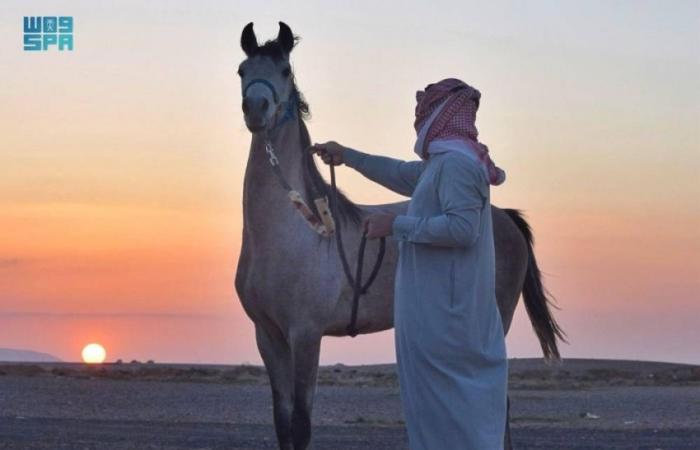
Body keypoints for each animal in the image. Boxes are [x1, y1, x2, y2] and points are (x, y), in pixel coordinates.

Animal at [234, 22, 564, 450]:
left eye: (285, 71)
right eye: (242, 70)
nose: (256, 109)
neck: (292, 233)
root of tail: (505, 218)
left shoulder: (305, 334)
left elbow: (302, 423)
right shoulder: (268, 336)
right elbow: (283, 421)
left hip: (498, 322)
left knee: (499, 402)